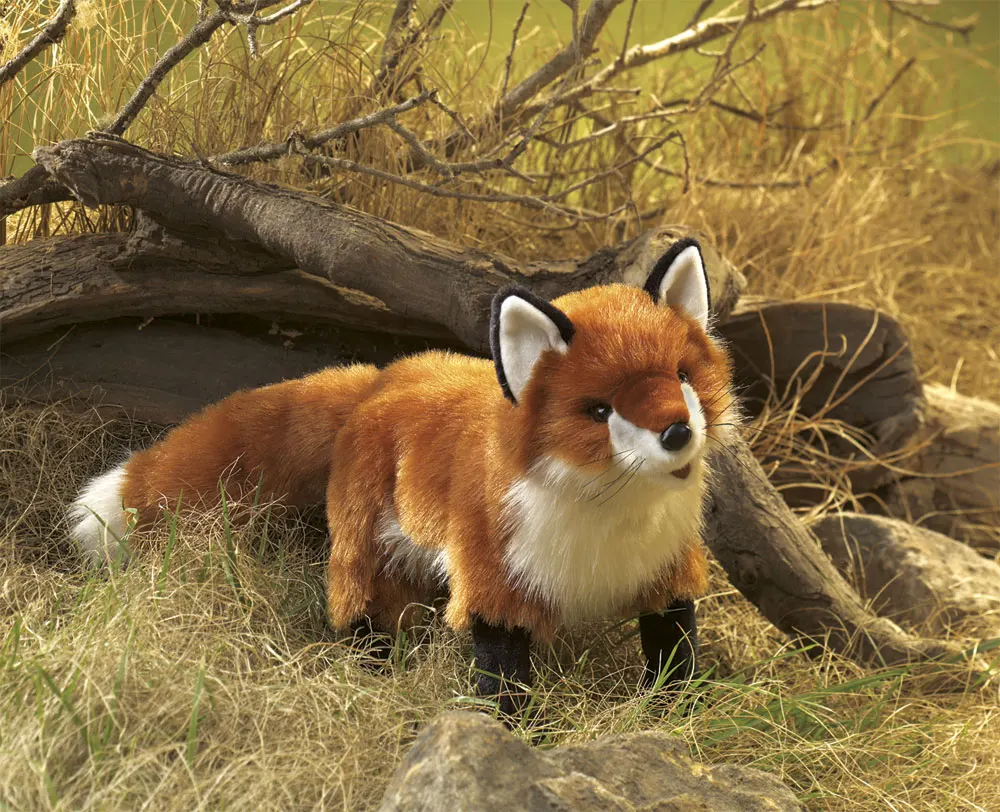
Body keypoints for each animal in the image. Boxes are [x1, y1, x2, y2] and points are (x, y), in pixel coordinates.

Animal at [69, 238, 737, 715]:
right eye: (600, 411)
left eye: (682, 376)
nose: (677, 433)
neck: (609, 528)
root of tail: (383, 376)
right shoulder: (495, 580)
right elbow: (505, 679)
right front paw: (521, 737)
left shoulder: (668, 573)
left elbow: (674, 654)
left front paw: (680, 718)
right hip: (366, 552)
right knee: (359, 613)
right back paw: (373, 671)